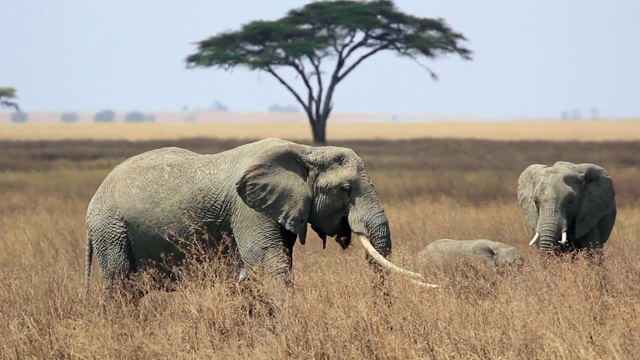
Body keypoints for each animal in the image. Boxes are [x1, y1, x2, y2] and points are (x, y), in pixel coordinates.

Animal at [84, 138, 436, 298]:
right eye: (345, 189)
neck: (307, 151)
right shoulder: (248, 209)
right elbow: (269, 263)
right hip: (111, 229)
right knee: (118, 281)